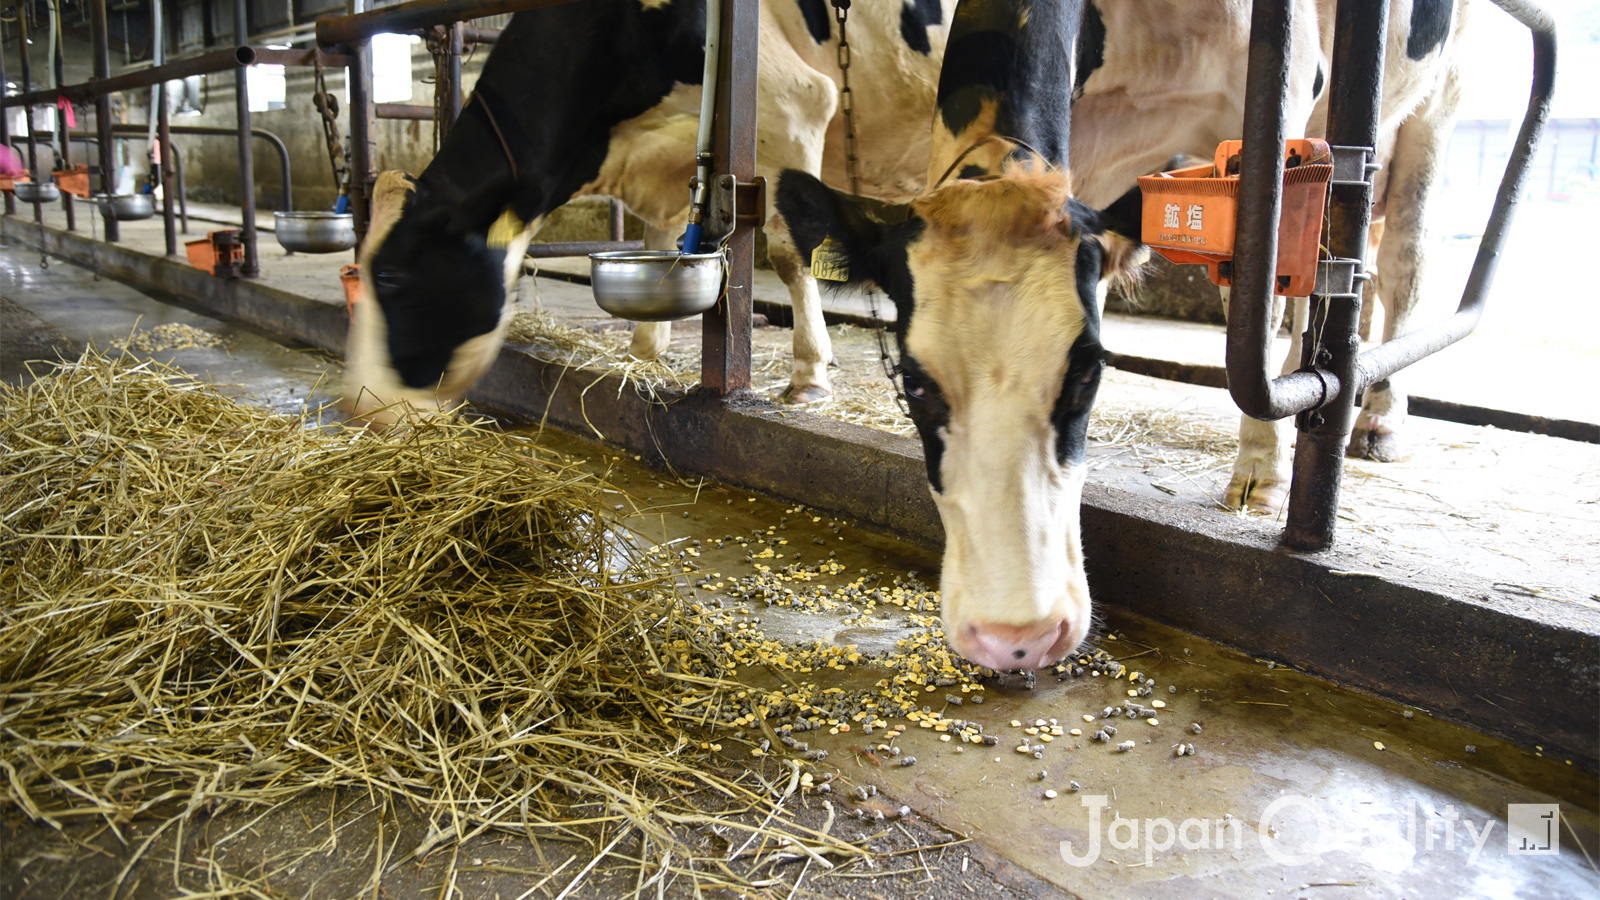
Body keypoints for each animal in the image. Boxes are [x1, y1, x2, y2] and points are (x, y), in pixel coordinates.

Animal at [780, 0, 1465, 669]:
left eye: (1089, 372)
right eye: (914, 386)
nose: (1018, 639)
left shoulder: (1277, 99)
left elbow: (1259, 287)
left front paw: (1263, 471)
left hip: (1438, 100)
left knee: (1398, 259)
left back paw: (1377, 419)